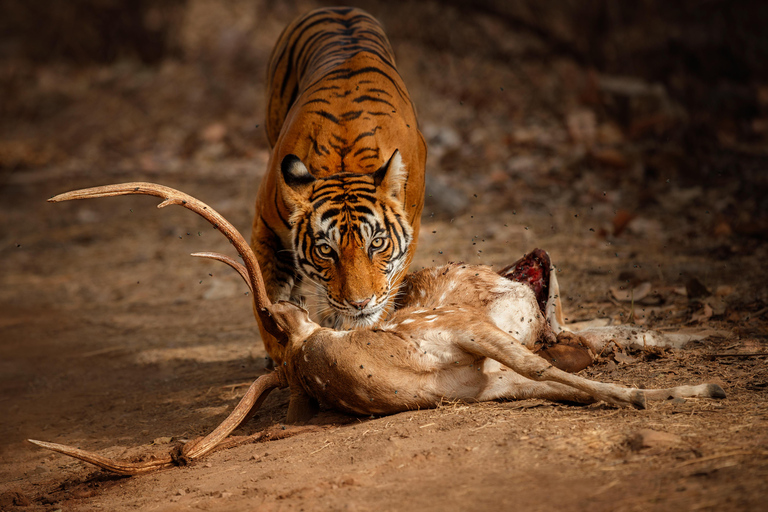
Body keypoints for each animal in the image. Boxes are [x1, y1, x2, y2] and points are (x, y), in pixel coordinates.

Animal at [28, 183, 728, 476]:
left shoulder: (476, 347)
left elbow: (561, 371)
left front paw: (688, 389)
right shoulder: (481, 358)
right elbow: (561, 377)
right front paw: (685, 392)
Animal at [250, 6, 426, 362]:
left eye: (376, 243)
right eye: (325, 250)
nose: (360, 304)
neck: (345, 163)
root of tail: (337, 8)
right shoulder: (266, 223)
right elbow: (267, 290)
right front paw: (281, 344)